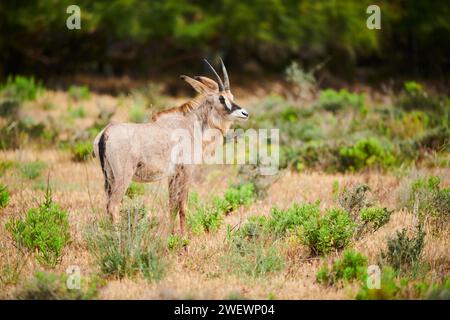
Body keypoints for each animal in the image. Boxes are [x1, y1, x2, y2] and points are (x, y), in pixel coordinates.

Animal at [93, 59, 250, 235]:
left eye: (232, 97)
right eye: (221, 98)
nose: (244, 113)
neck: (191, 124)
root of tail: (105, 134)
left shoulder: (173, 175)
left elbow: (172, 205)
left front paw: (170, 235)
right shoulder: (186, 171)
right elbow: (183, 205)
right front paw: (184, 238)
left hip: (109, 178)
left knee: (108, 206)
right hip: (123, 177)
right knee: (113, 206)